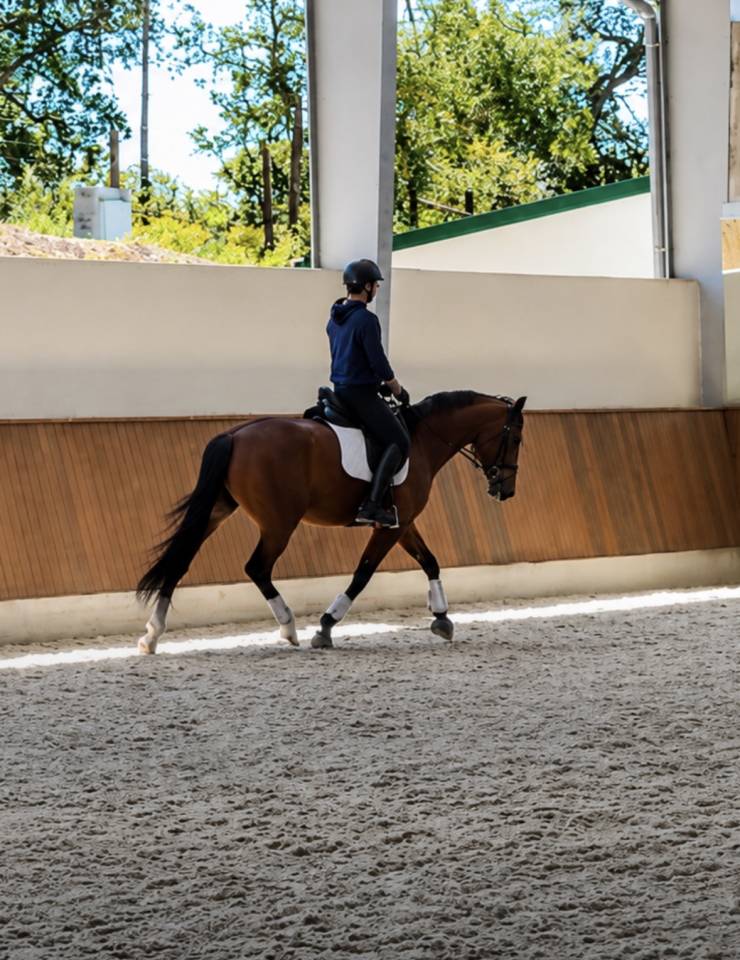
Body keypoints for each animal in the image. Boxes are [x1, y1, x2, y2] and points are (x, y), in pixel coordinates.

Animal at [136, 390, 526, 653]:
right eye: (517, 438)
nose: (505, 490)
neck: (422, 439)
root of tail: (233, 434)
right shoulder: (392, 526)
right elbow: (363, 574)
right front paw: (325, 626)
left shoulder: (401, 523)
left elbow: (430, 561)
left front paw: (442, 618)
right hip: (279, 524)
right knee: (257, 568)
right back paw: (289, 627)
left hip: (218, 510)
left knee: (181, 560)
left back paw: (153, 633)